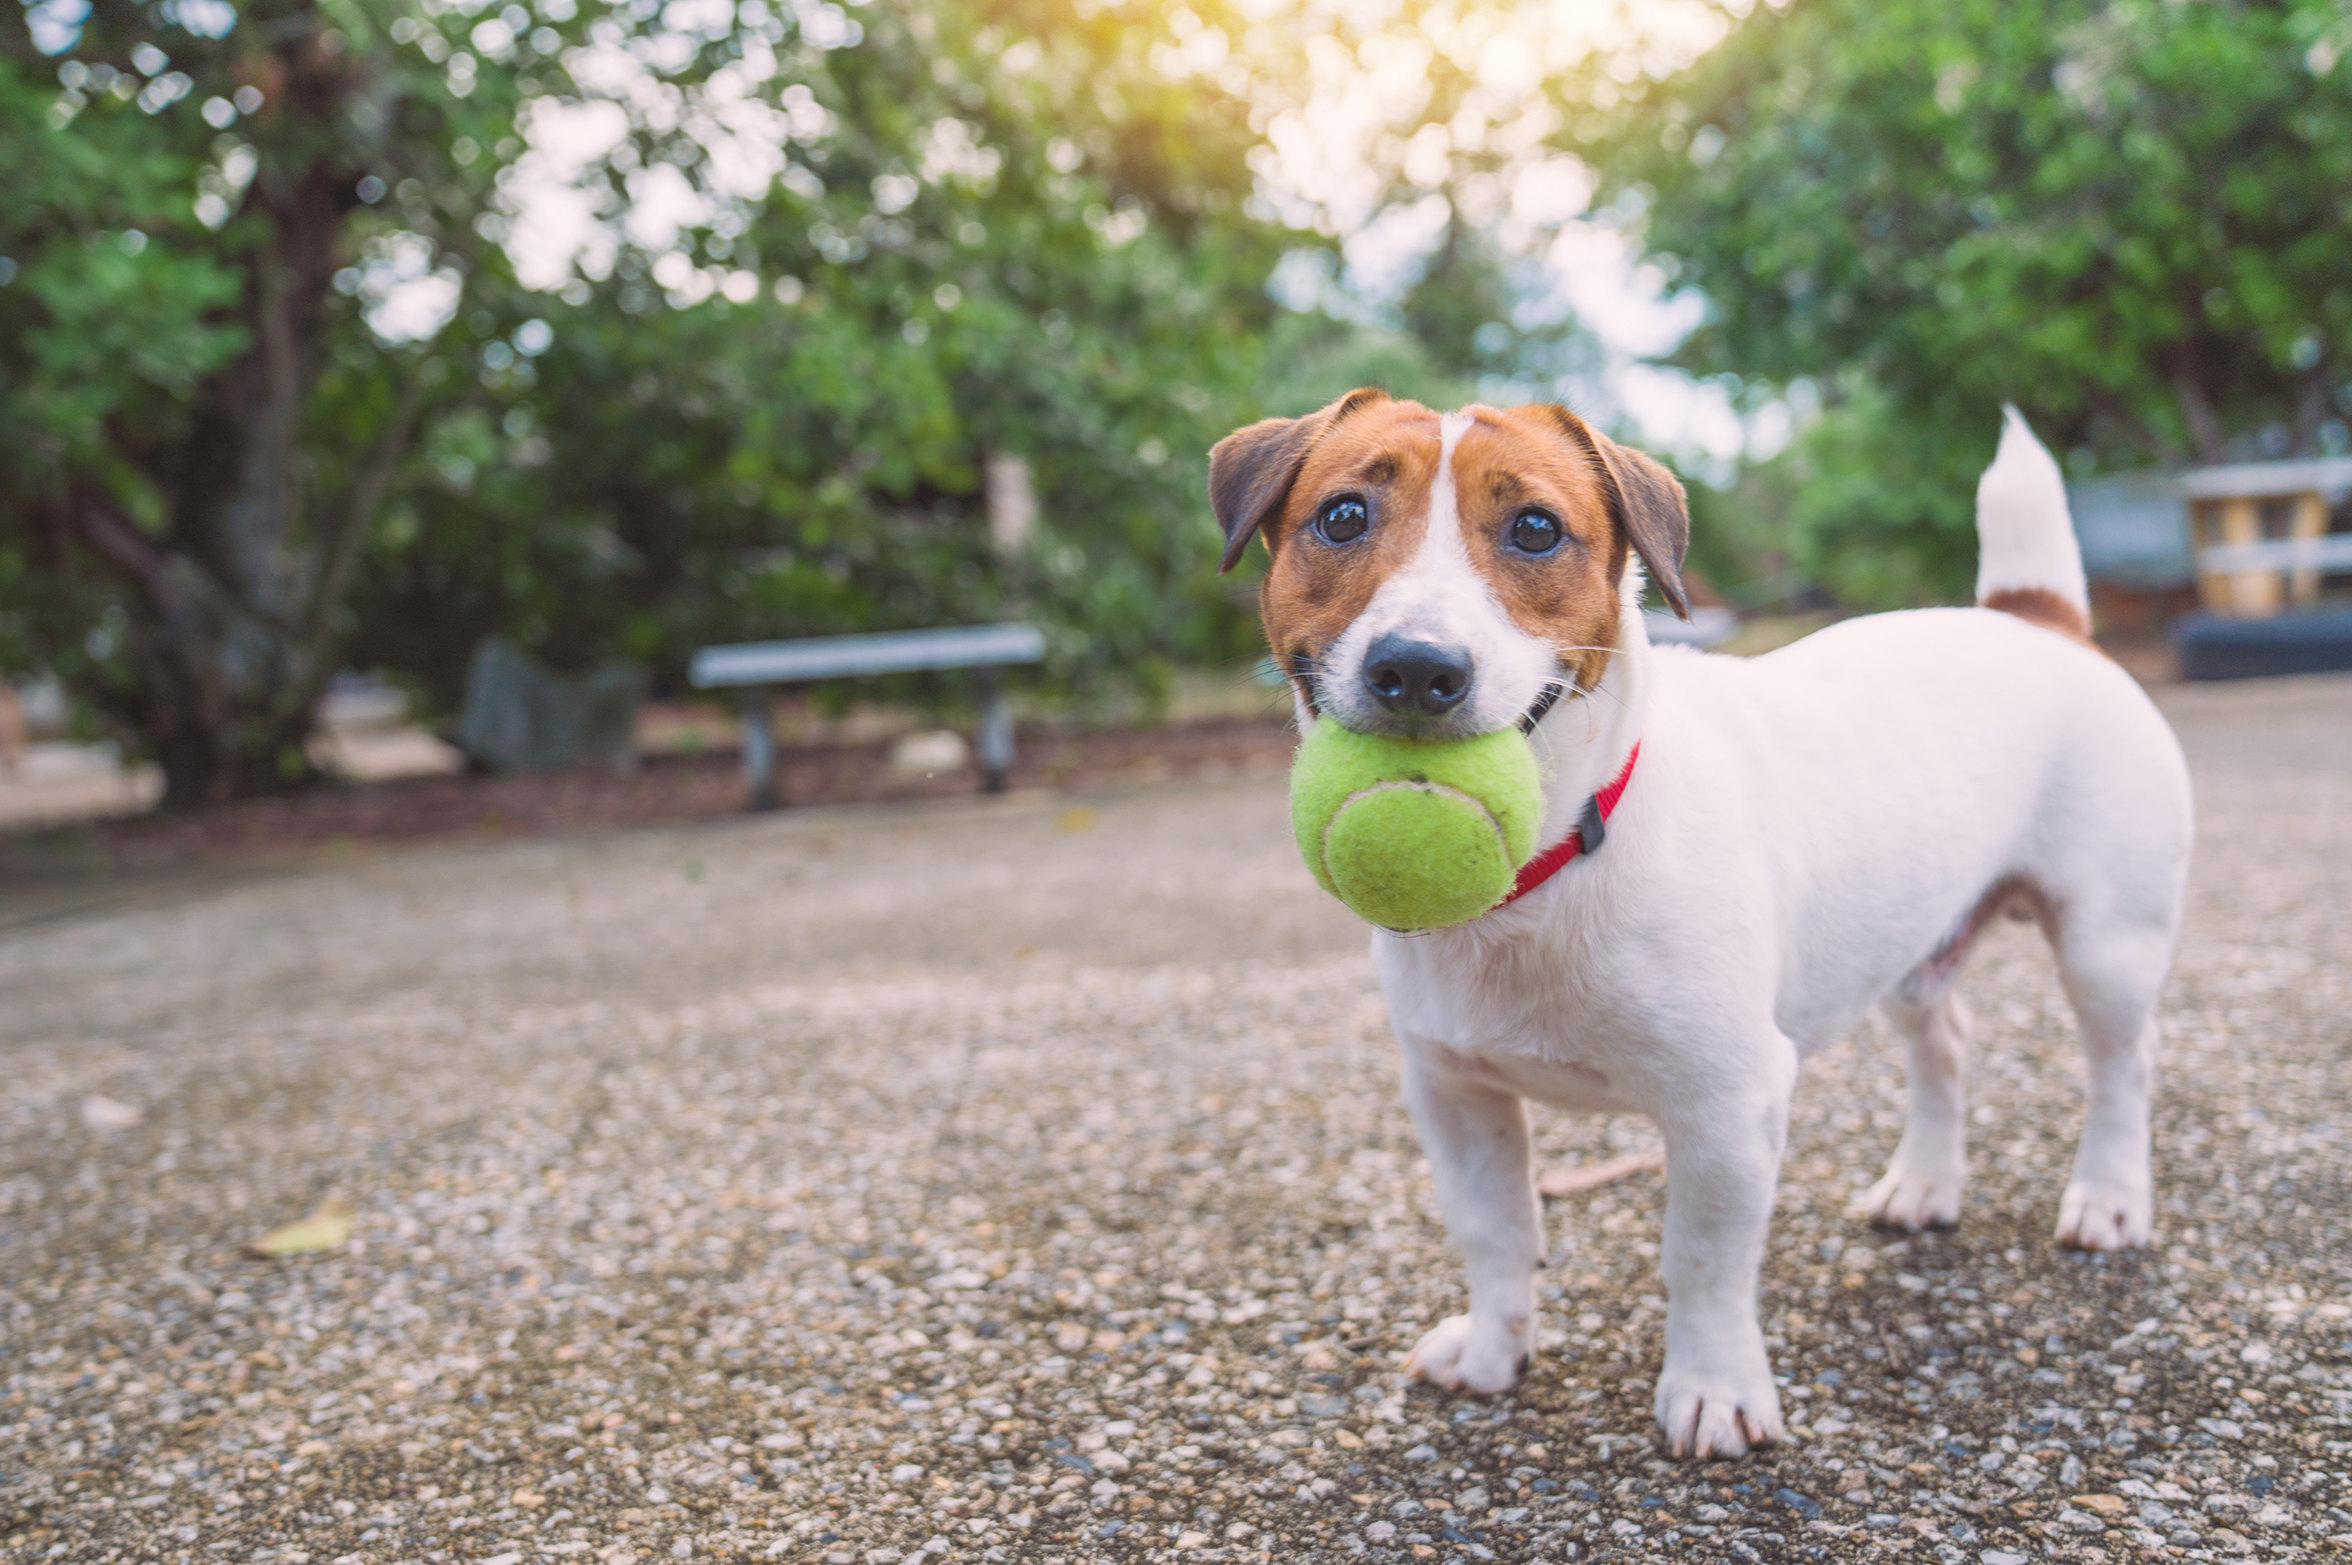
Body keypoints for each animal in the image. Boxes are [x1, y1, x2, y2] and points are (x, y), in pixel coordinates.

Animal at [1204, 390, 2192, 1449]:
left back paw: (2109, 1198)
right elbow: (1496, 1230)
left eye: (1536, 528)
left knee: (2123, 1066)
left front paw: (1714, 1387)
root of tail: (2038, 618)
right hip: (1908, 942)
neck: (1558, 855)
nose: (1418, 668)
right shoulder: (1455, 1094)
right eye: (1343, 516)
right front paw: (1493, 1348)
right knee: (1946, 1044)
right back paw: (1925, 1184)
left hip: (2106, 944)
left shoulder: (1727, 1105)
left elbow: (1704, 1261)